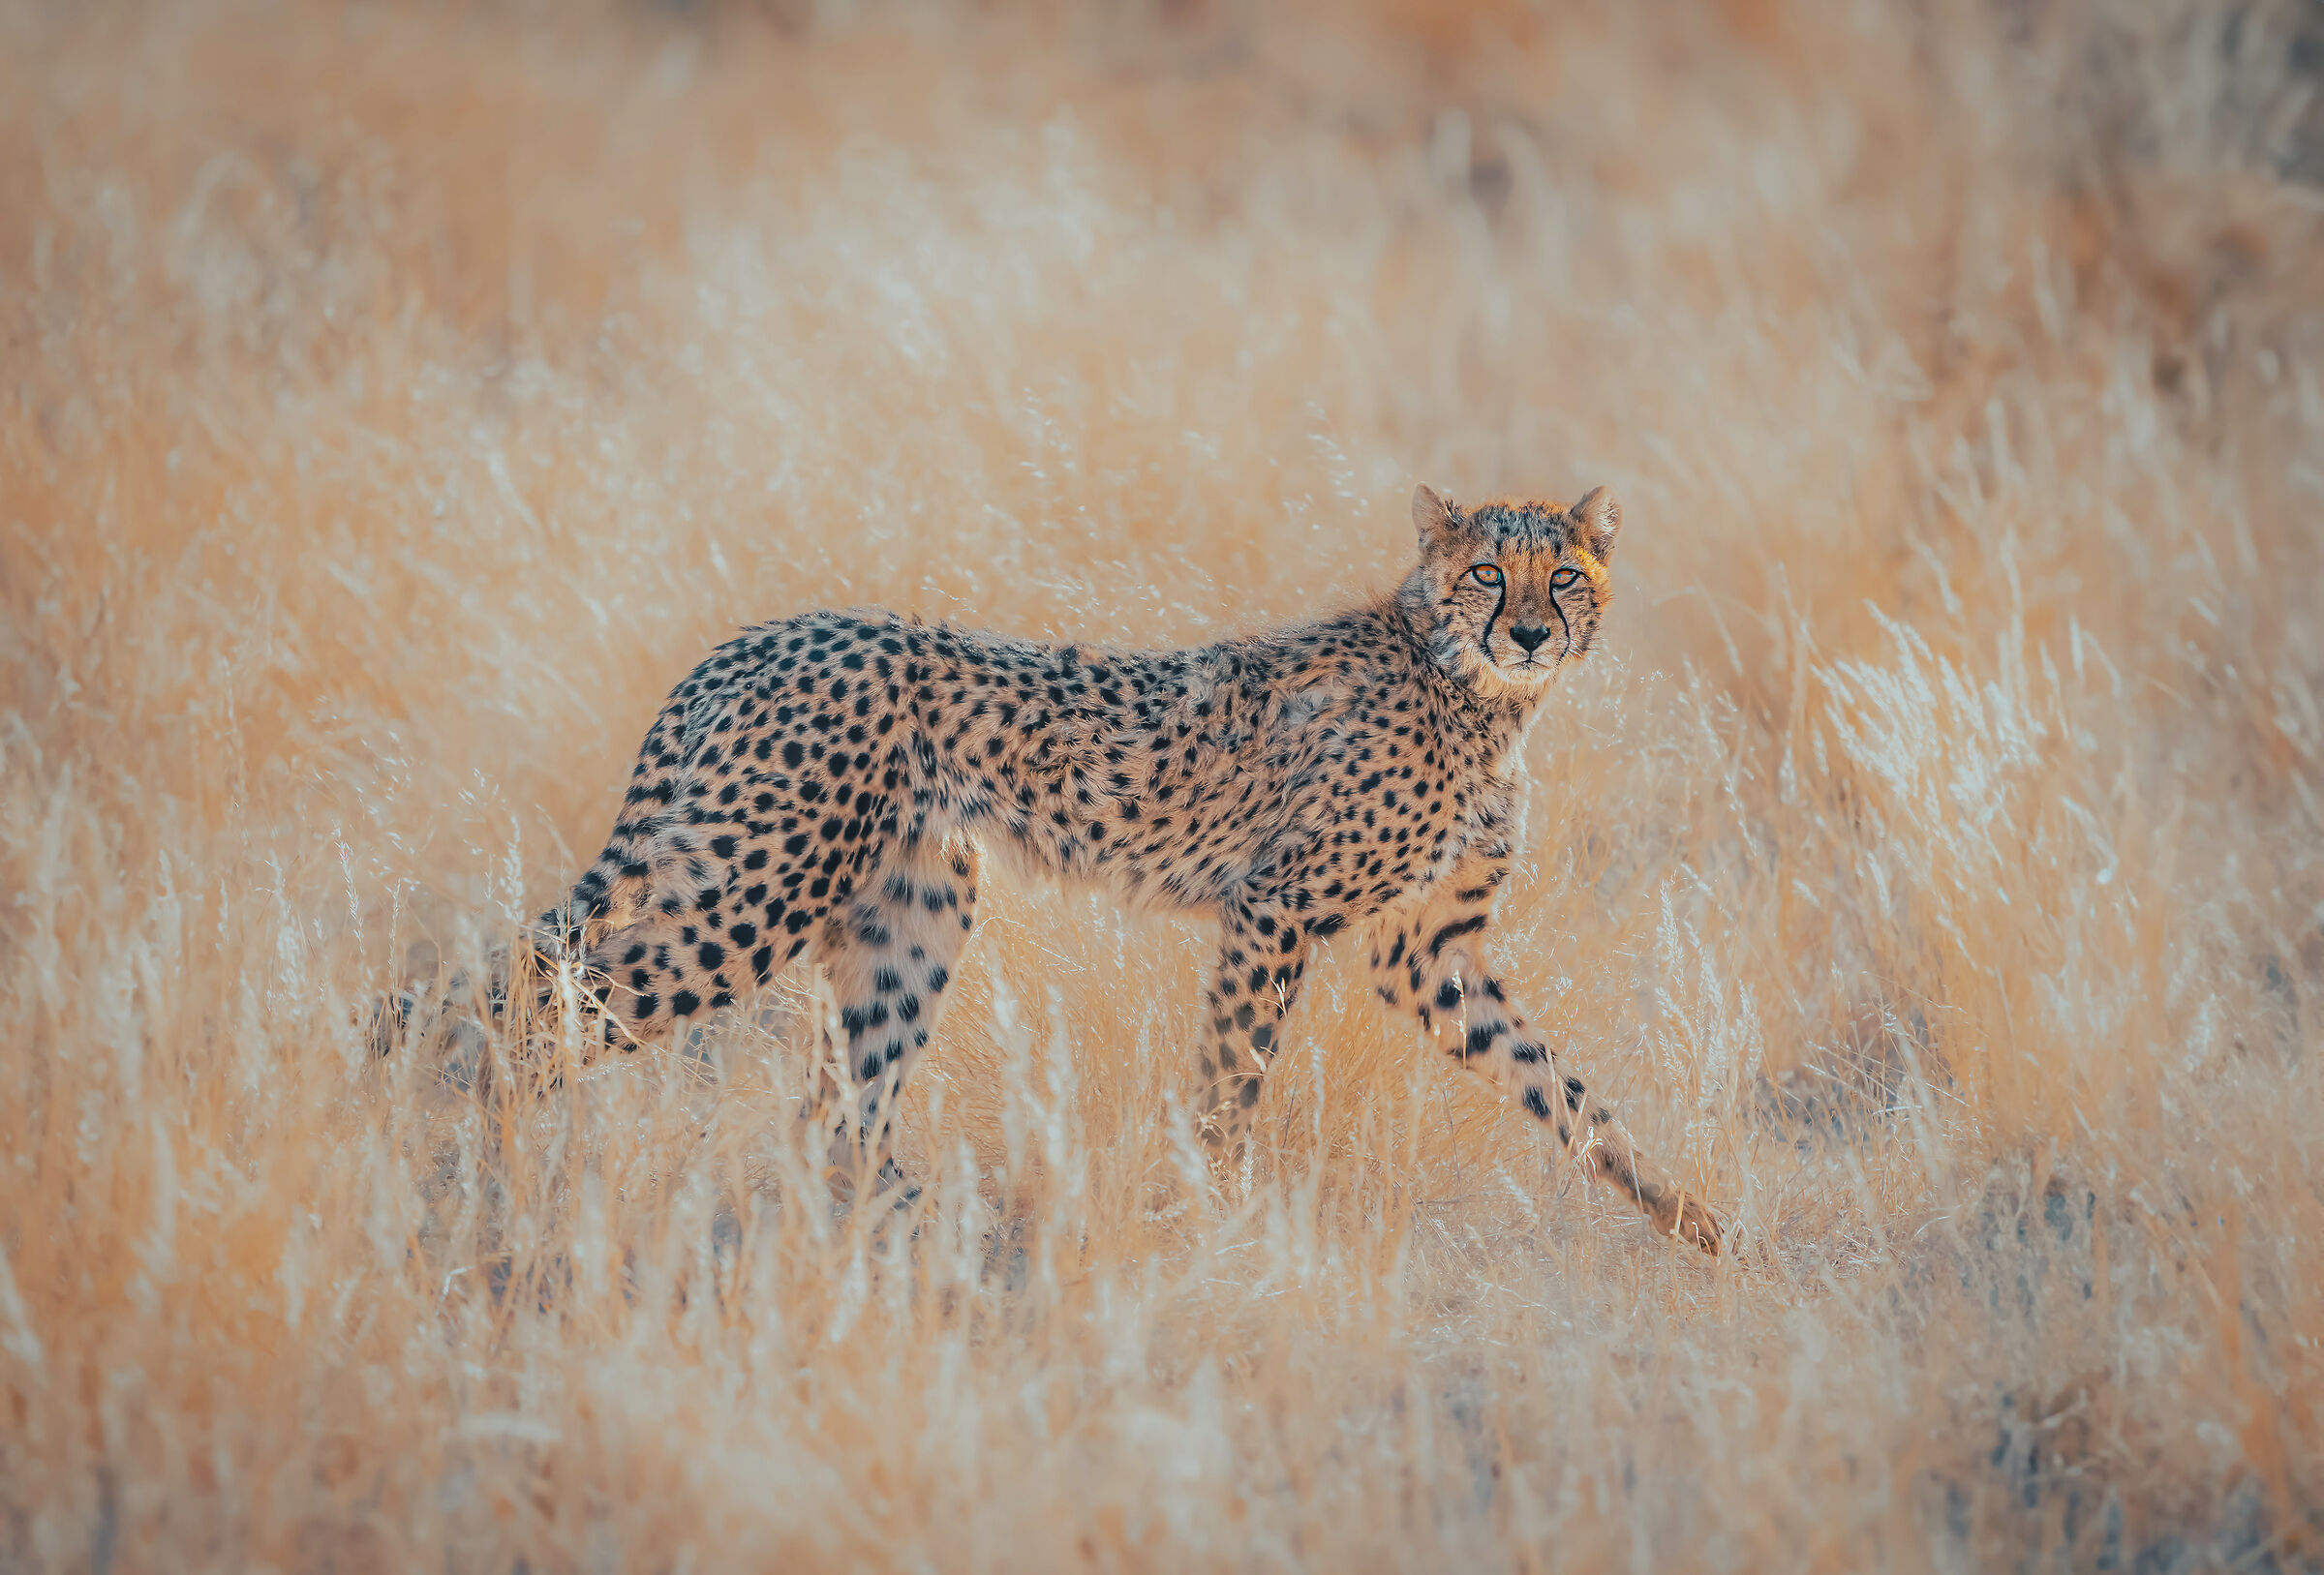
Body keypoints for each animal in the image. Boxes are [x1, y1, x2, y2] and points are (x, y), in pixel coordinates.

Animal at [401, 484, 1722, 1256]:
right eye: (1487, 574)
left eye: (1566, 573)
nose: (1532, 632)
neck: (1477, 689)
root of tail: (765, 634)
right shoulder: (1276, 907)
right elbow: (1233, 1080)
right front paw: (1213, 1219)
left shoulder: (1427, 952)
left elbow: (1564, 1090)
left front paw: (1694, 1219)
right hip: (750, 891)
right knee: (538, 1012)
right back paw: (490, 1185)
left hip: (914, 909)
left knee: (836, 1114)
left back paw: (929, 1249)